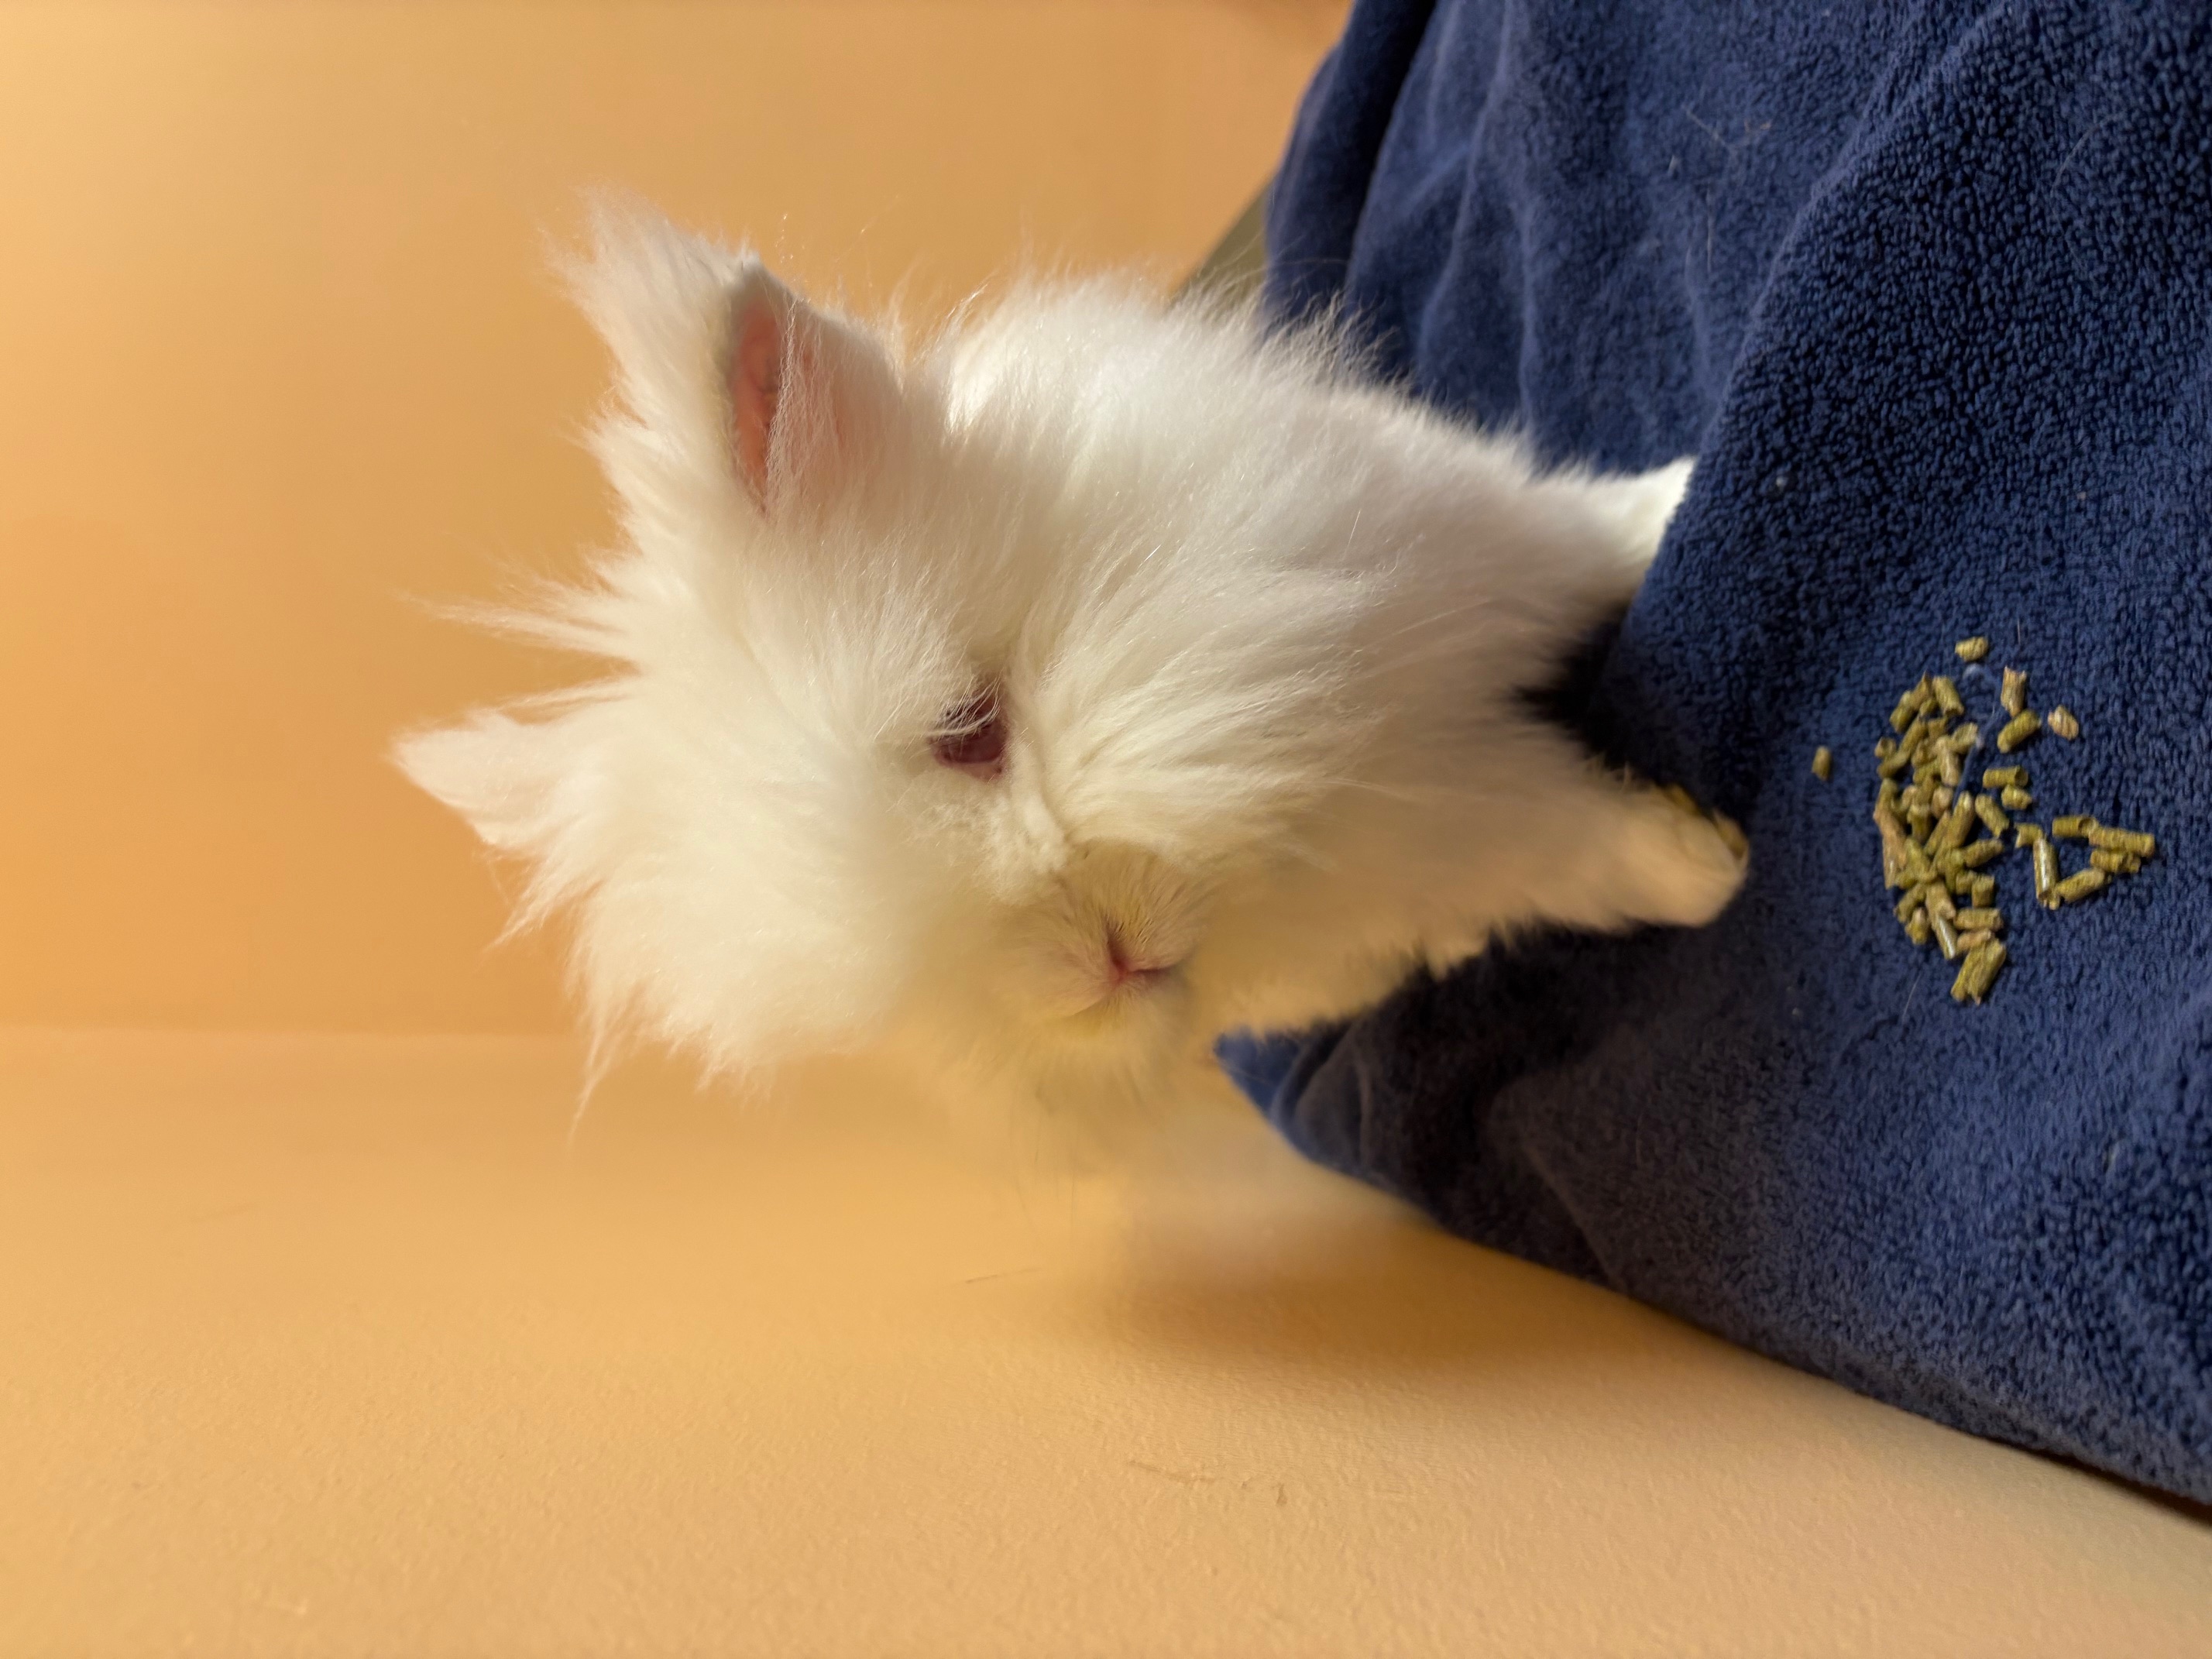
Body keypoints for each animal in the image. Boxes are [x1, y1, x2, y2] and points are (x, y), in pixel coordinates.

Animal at [396, 203, 1745, 1108]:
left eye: (970, 727)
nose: (1096, 969)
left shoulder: (1456, 544)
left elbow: (1571, 546)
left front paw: (1674, 503)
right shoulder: (1447, 837)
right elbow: (1569, 853)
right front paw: (1705, 870)